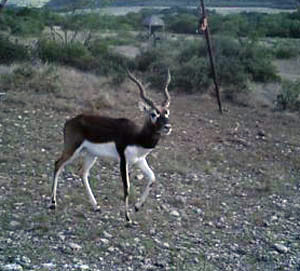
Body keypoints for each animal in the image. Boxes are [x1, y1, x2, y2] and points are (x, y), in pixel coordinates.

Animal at [50, 69, 172, 223]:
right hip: (72, 149)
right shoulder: (123, 160)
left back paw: (96, 206)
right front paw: (127, 218)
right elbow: (127, 187)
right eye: (153, 114)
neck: (137, 136)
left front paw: (137, 207)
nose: (168, 127)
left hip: (91, 154)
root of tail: (70, 121)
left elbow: (152, 178)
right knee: (58, 164)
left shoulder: (140, 160)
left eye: (166, 112)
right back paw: (53, 203)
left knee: (82, 172)